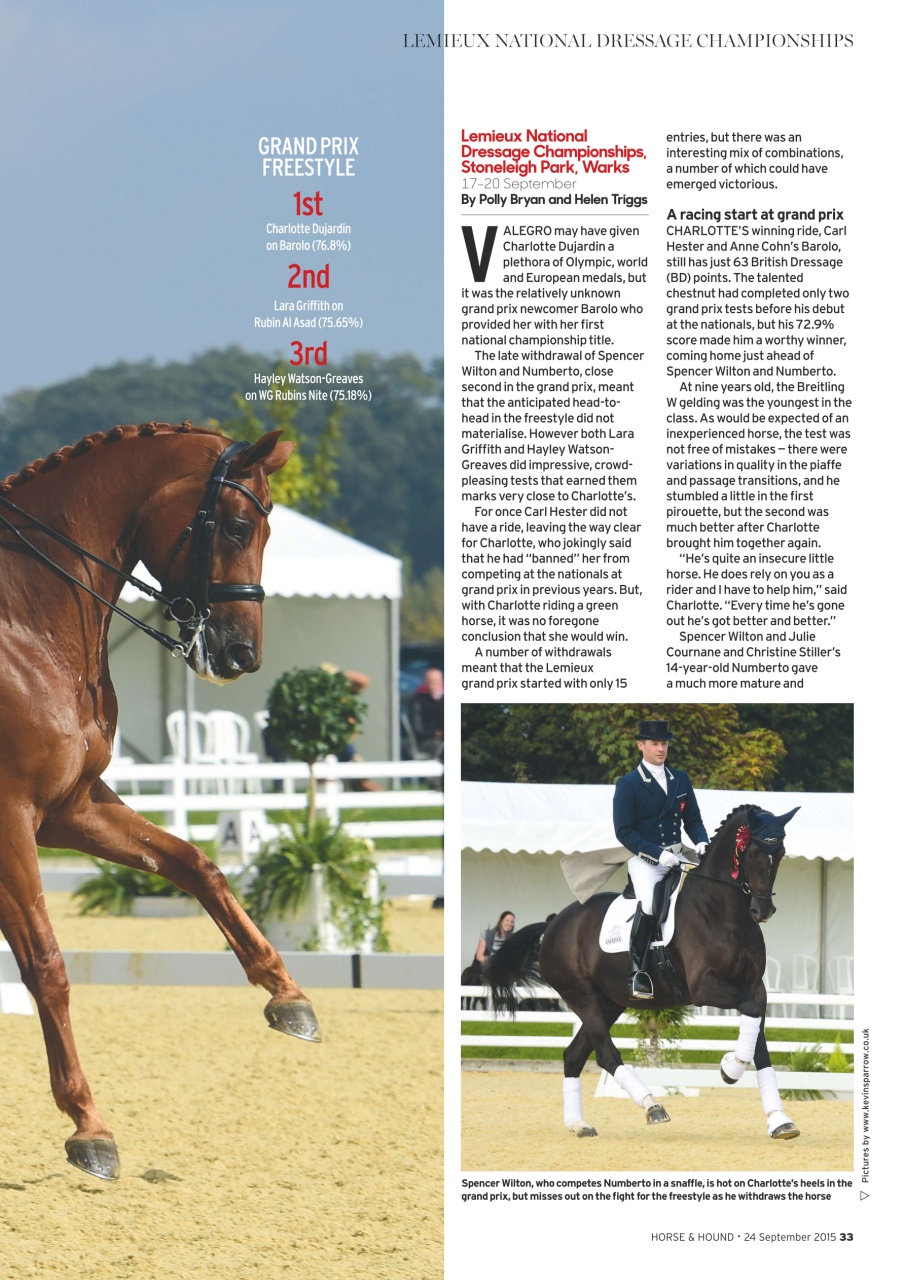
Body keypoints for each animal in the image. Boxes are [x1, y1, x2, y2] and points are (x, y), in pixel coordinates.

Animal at [0, 421, 321, 1181]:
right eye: (236, 526)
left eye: (270, 528)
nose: (241, 656)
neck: (29, 620)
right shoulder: (10, 817)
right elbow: (46, 964)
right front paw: (88, 1124)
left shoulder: (70, 808)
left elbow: (193, 863)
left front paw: (288, 995)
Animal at [483, 804, 802, 1141]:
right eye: (752, 851)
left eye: (780, 853)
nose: (762, 912)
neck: (723, 911)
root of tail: (554, 923)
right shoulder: (705, 986)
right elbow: (751, 1019)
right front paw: (731, 1067)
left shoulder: (754, 986)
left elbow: (759, 1040)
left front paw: (779, 1120)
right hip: (580, 994)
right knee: (605, 1054)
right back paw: (653, 1106)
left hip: (610, 1002)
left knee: (574, 1055)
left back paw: (579, 1124)